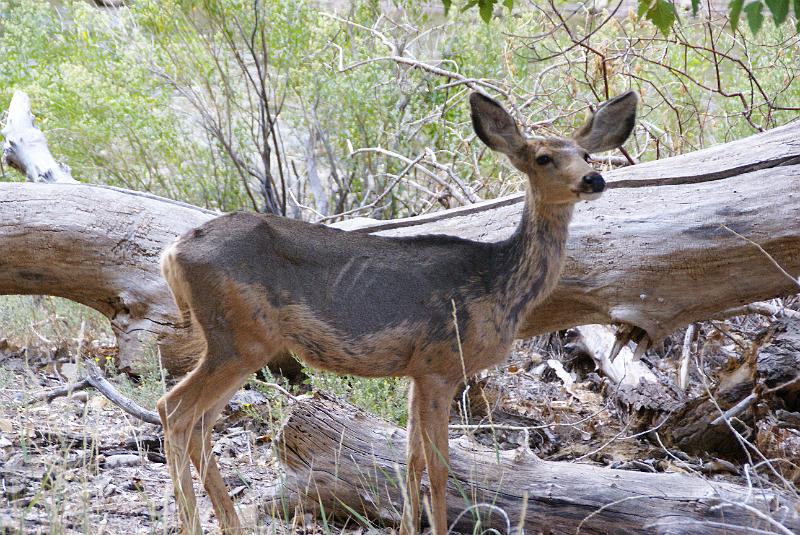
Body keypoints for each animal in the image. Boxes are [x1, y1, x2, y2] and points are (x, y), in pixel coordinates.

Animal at [156, 90, 636, 532]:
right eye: (543, 157)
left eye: (586, 153)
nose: (594, 179)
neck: (498, 283)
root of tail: (172, 252)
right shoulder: (442, 363)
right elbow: (440, 467)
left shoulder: (416, 371)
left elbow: (410, 459)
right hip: (238, 337)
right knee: (174, 410)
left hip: (240, 344)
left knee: (199, 423)